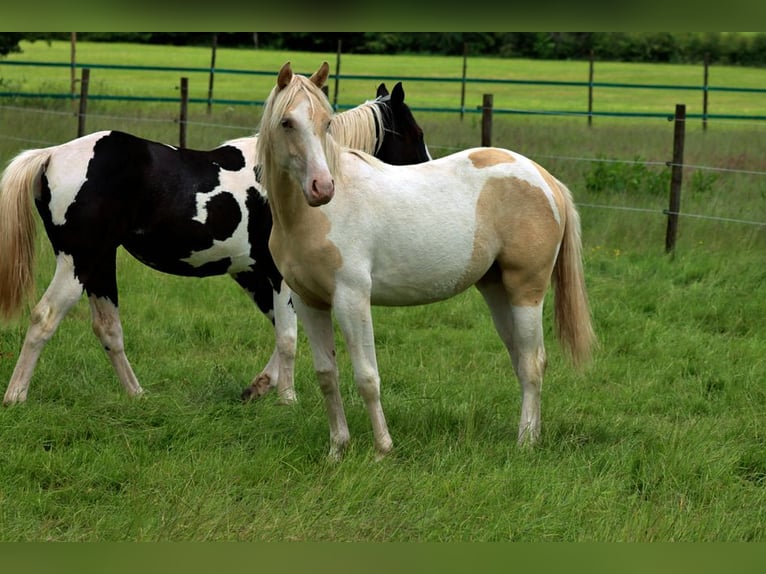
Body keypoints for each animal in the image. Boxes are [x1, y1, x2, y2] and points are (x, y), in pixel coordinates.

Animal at [0, 81, 432, 408]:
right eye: (417, 134)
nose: (427, 169)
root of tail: (50, 156)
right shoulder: (277, 277)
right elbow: (289, 338)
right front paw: (288, 398)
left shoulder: (255, 275)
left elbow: (282, 332)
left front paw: (260, 387)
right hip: (79, 261)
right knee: (44, 318)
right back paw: (16, 397)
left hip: (101, 263)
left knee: (108, 329)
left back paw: (137, 395)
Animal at [260, 60, 596, 462]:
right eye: (287, 123)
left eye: (327, 122)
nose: (322, 188)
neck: (312, 217)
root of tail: (545, 179)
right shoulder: (309, 301)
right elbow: (327, 375)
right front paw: (337, 450)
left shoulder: (352, 298)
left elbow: (367, 377)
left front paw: (382, 450)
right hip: (497, 291)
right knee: (520, 358)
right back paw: (533, 434)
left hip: (526, 290)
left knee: (533, 361)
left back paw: (525, 443)